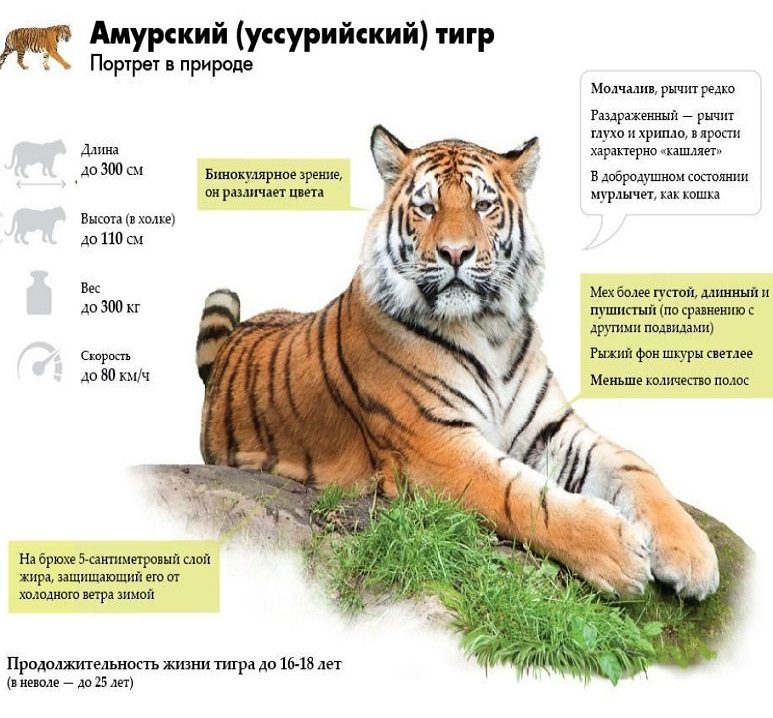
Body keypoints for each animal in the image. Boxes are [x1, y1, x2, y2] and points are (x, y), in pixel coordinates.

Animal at [196, 127, 719, 600]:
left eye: (483, 205)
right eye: (426, 207)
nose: (455, 252)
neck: (489, 329)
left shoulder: (549, 428)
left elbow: (634, 465)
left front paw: (693, 555)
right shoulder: (435, 446)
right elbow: (522, 496)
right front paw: (618, 551)